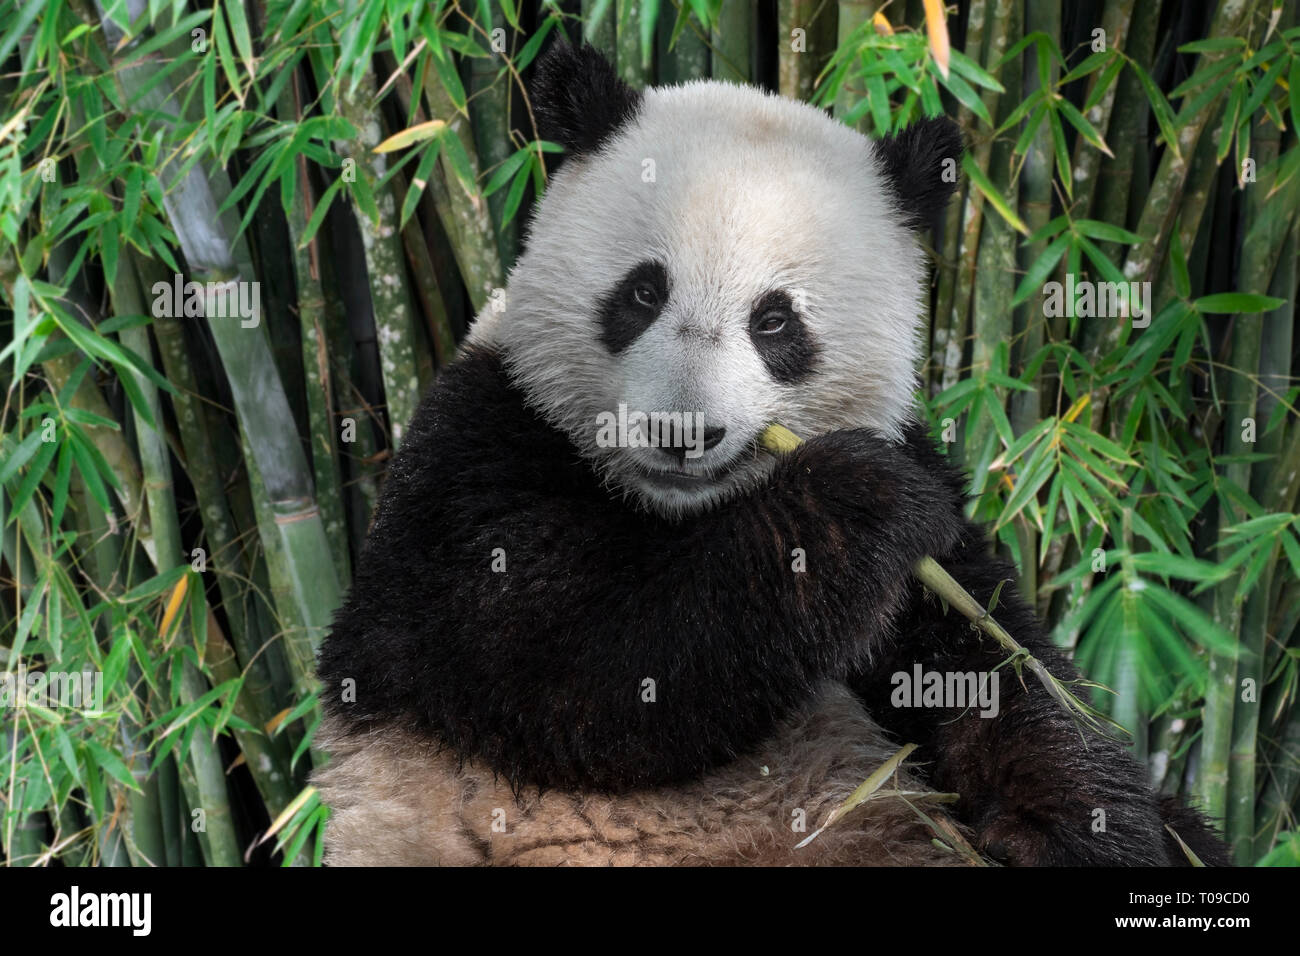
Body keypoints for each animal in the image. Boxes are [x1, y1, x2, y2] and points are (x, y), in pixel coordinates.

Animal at [314, 42, 1227, 868]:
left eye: (775, 321)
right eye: (642, 292)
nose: (683, 434)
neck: (679, 512)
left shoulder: (928, 517)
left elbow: (990, 665)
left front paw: (1083, 827)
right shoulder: (477, 457)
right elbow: (582, 674)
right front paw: (857, 499)